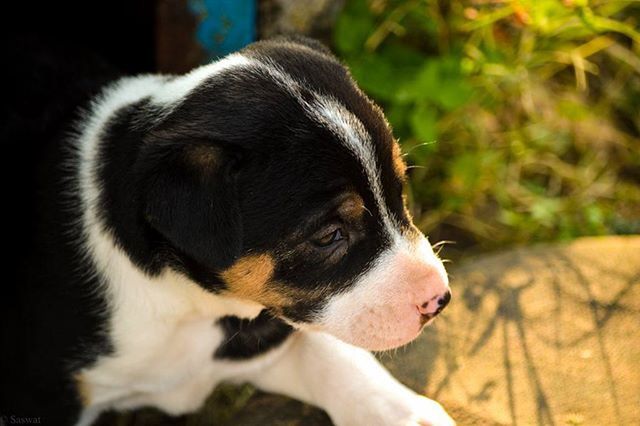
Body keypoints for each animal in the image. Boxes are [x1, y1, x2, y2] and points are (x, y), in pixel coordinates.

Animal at [0, 37, 452, 426]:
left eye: (400, 189)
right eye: (328, 236)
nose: (439, 300)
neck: (188, 307)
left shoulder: (261, 337)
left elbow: (336, 359)